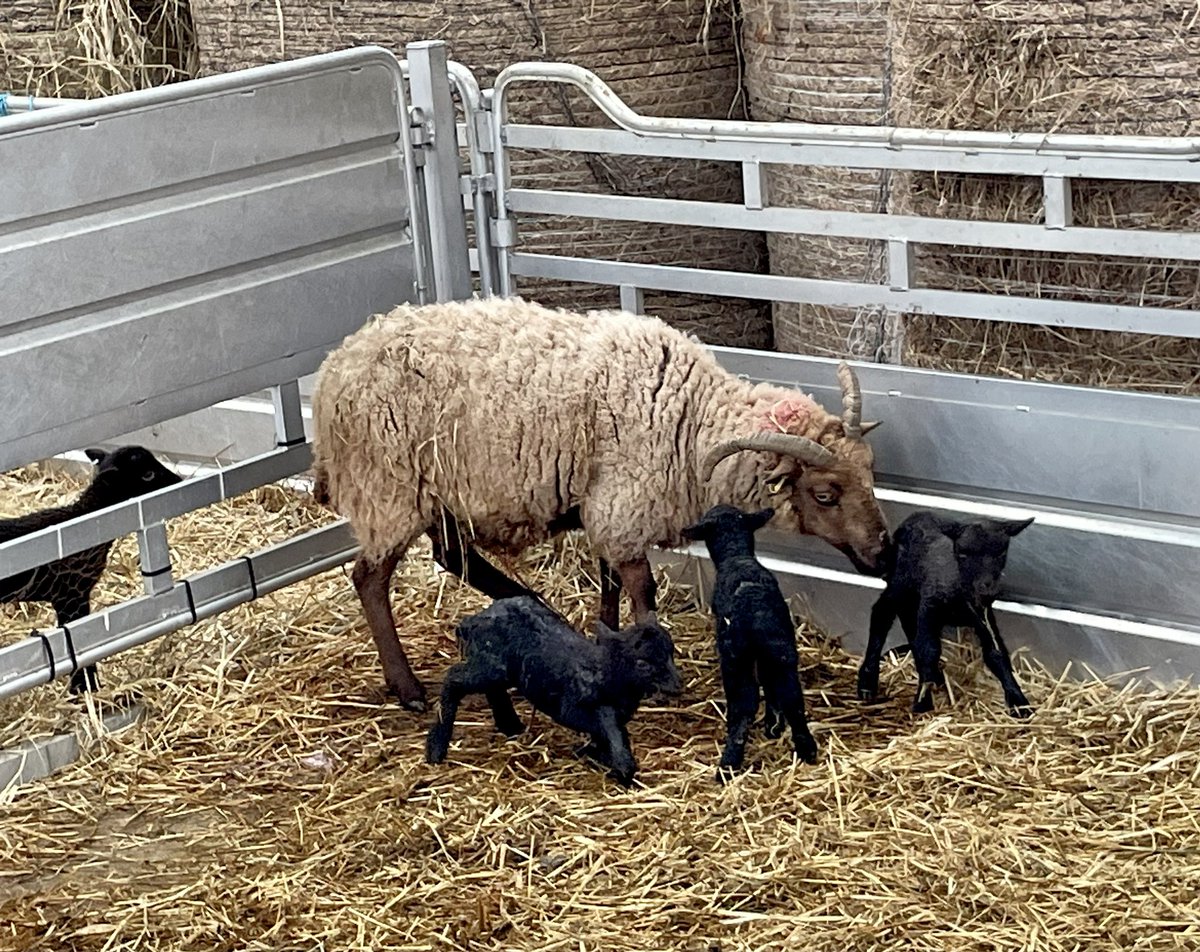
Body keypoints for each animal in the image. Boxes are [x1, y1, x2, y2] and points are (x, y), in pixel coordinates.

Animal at [427, 595, 681, 787]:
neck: (606, 675)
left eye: (671, 652)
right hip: (492, 666)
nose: (678, 685)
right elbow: (607, 726)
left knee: (491, 689)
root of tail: (470, 622)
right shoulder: (571, 709)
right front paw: (621, 768)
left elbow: (607, 732)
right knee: (454, 678)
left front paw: (598, 756)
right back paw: (435, 749)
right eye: (643, 663)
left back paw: (510, 725)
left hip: (496, 667)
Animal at [681, 501, 820, 777]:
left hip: (736, 661)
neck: (737, 556)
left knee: (743, 706)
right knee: (792, 699)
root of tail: (756, 615)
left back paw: (727, 765)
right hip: (782, 654)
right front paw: (773, 726)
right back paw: (806, 749)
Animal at [859, 509, 1036, 715]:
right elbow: (929, 649)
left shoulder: (983, 614)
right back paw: (867, 682)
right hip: (899, 584)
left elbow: (996, 653)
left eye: (1002, 552)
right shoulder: (929, 606)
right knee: (883, 613)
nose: (987, 590)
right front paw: (923, 701)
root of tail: (917, 515)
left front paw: (1019, 702)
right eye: (962, 553)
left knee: (908, 624)